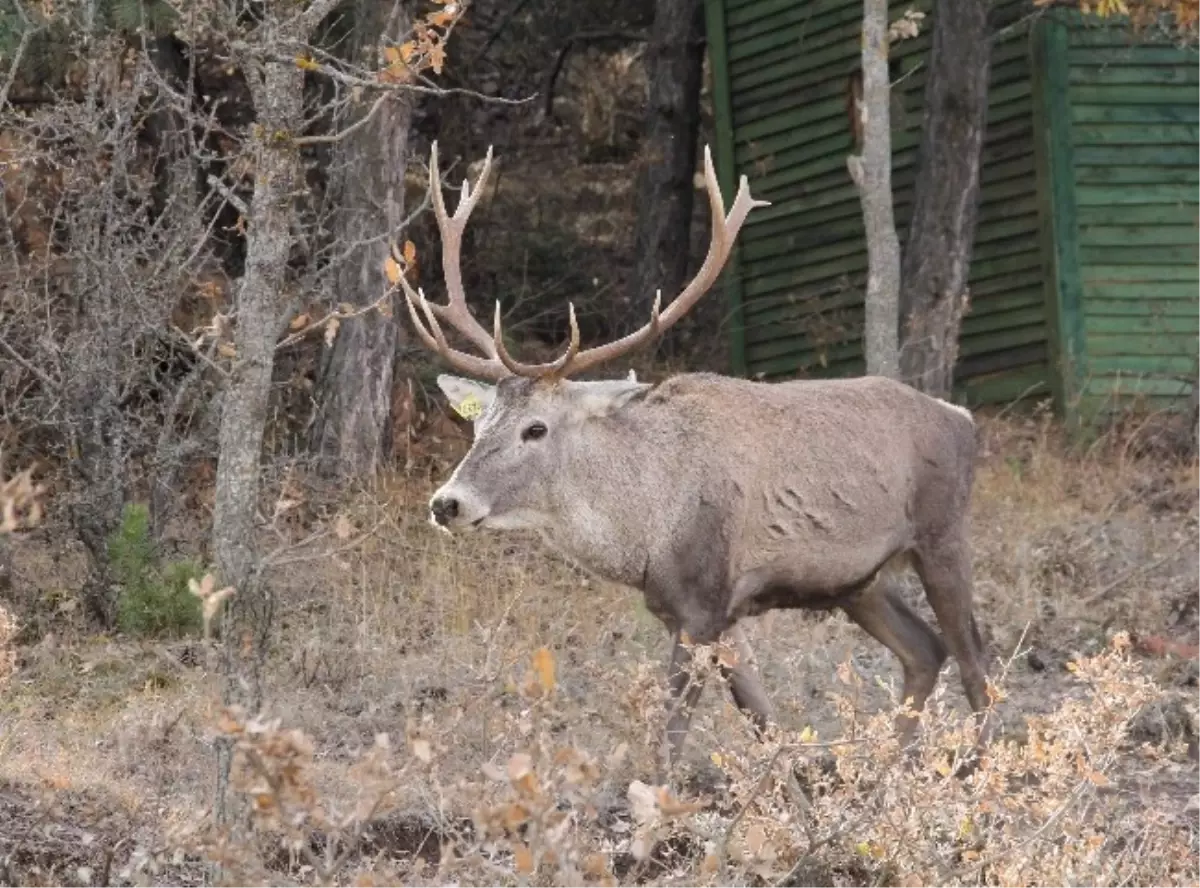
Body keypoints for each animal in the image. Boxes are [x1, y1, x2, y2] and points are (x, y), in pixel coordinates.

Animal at [398, 142, 998, 782]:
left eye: (536, 428)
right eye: (477, 424)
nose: (447, 503)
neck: (645, 531)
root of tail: (962, 418)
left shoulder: (702, 604)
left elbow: (669, 742)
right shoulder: (709, 614)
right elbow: (765, 727)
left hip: (942, 533)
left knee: (976, 663)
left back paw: (972, 772)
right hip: (859, 581)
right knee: (926, 649)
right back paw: (891, 773)